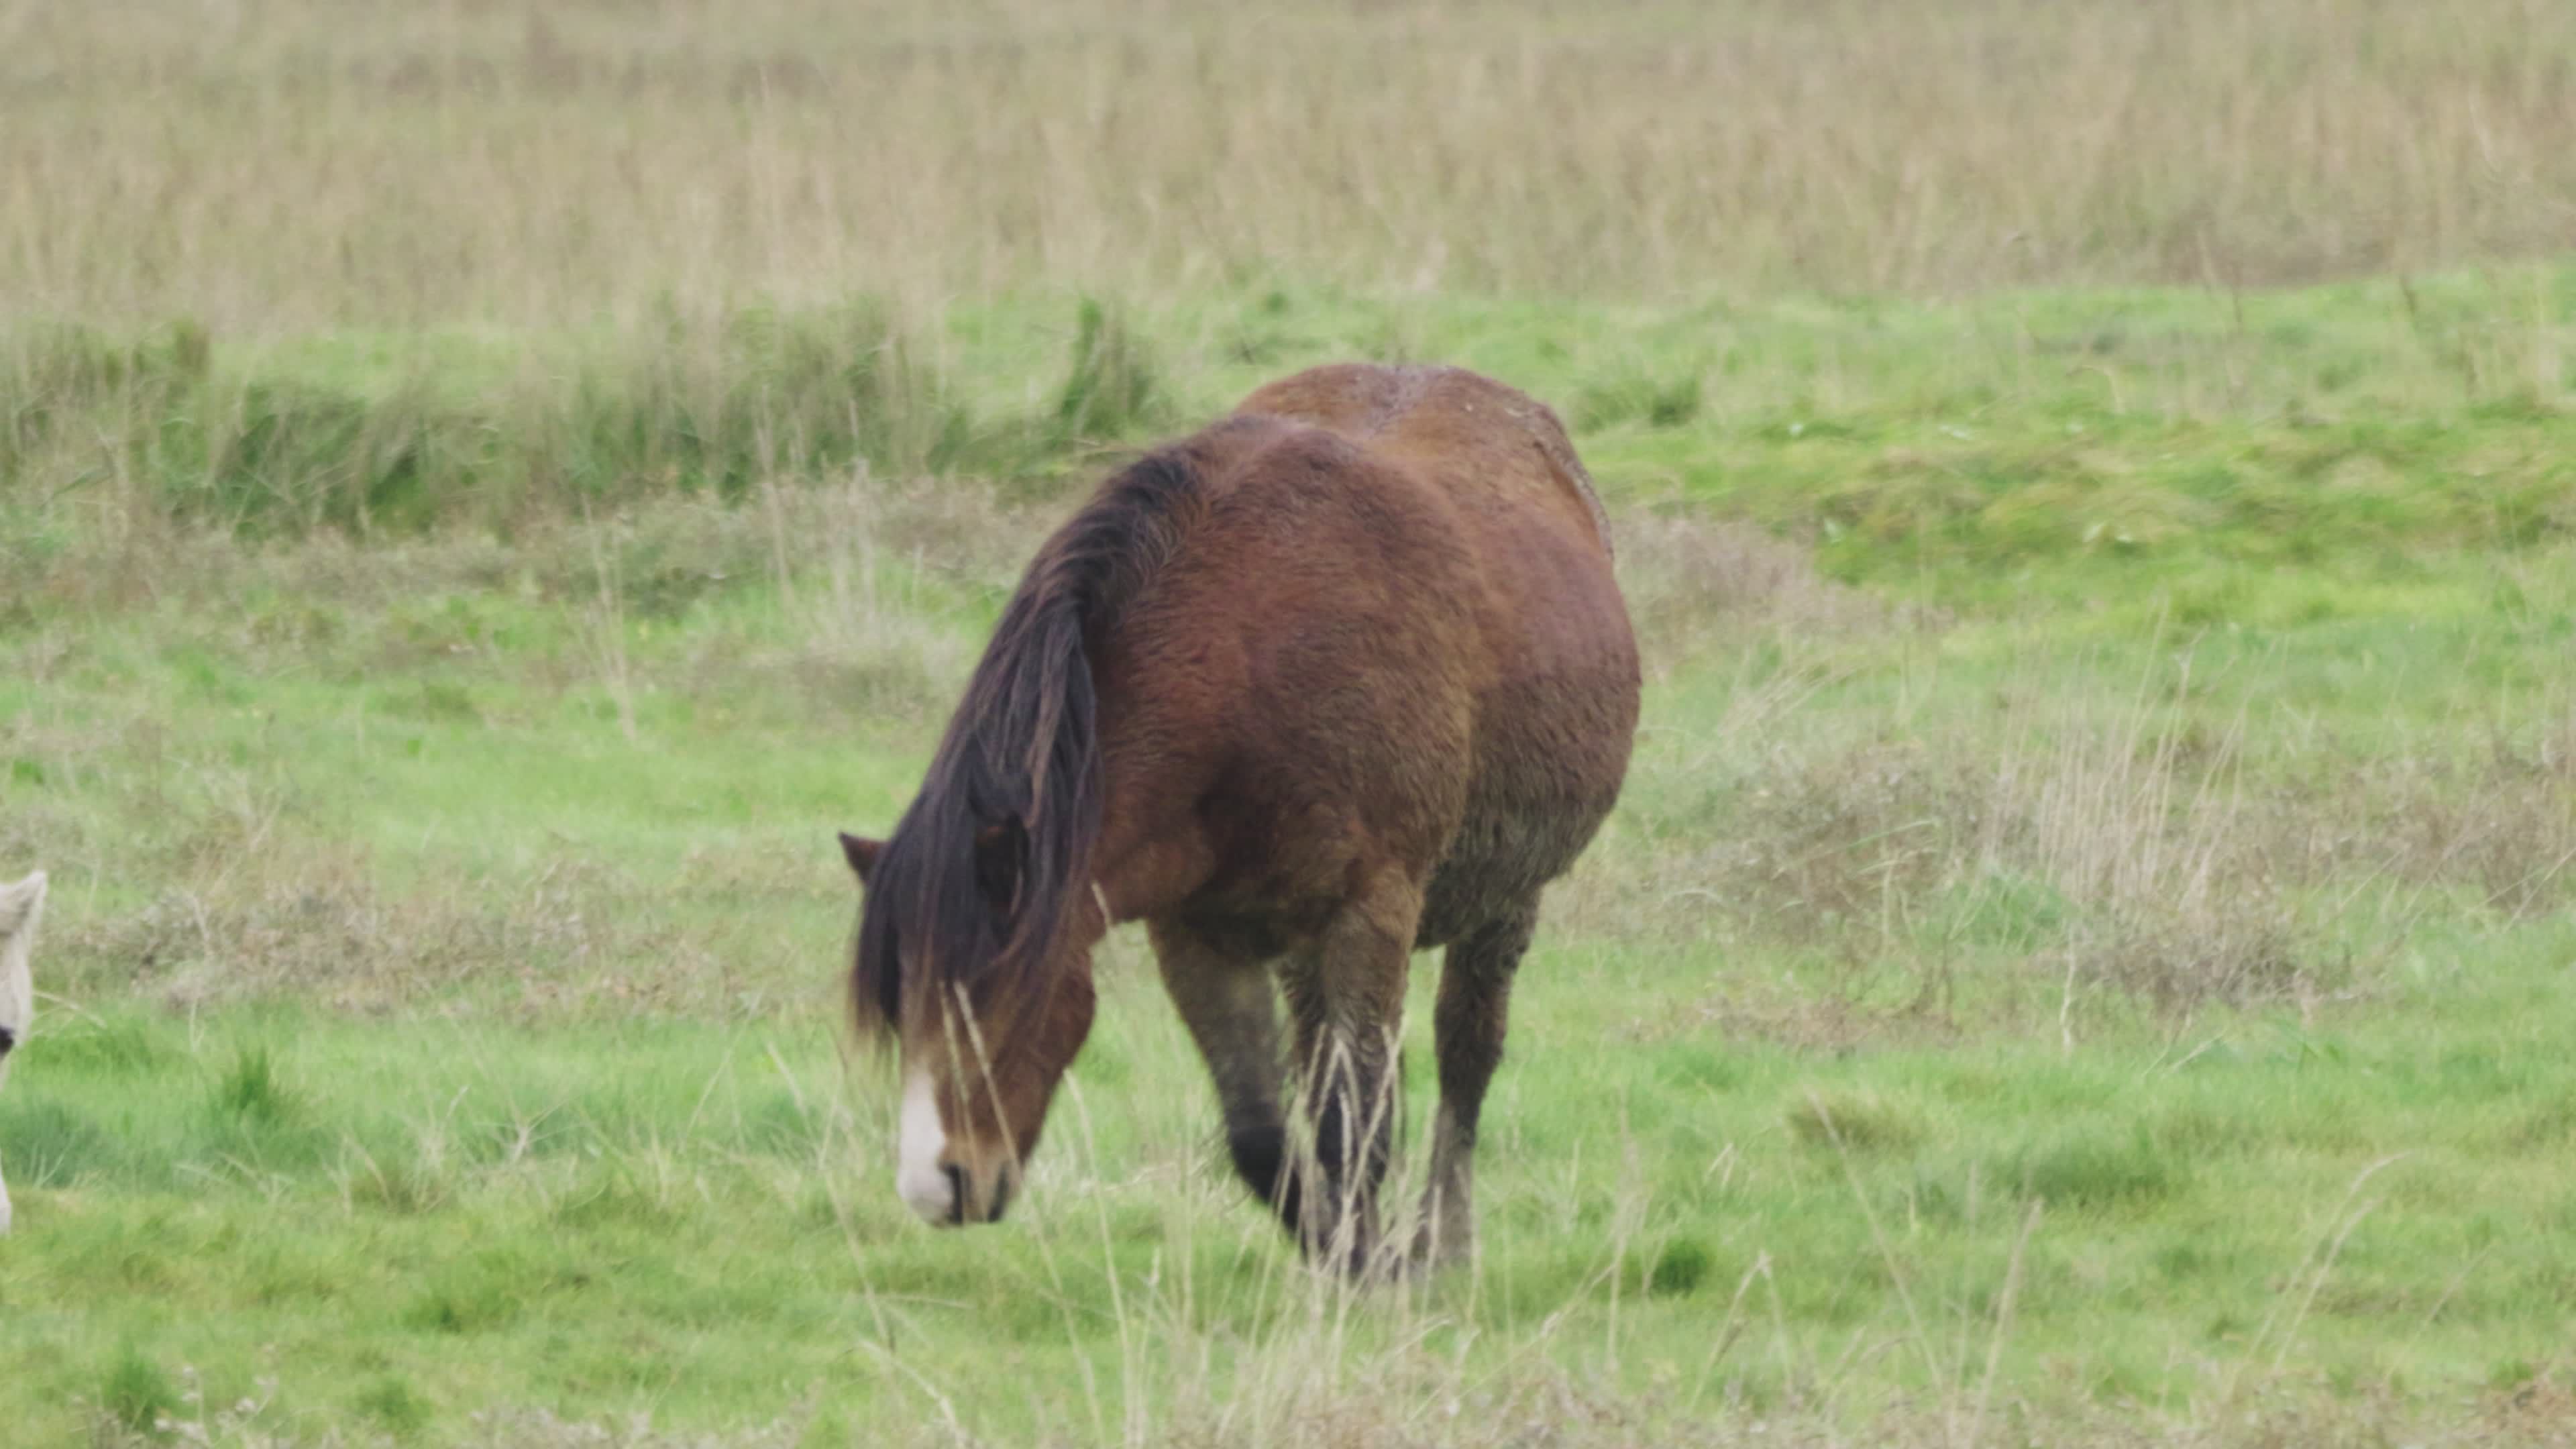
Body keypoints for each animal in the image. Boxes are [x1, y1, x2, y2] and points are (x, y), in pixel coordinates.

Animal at [837, 363, 1639, 1274]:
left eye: (994, 994)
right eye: (900, 1003)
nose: (936, 1187)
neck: (1249, 667)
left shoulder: (1370, 911)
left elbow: (1355, 1124)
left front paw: (1378, 1274)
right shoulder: (1198, 933)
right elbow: (1264, 1134)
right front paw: (1339, 1257)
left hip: (1505, 901)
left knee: (1465, 1057)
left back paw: (1443, 1243)